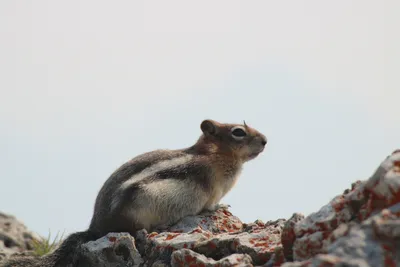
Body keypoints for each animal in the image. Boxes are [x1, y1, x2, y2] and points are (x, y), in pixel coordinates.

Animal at [3, 120, 268, 267]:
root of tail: (96, 227)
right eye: (238, 132)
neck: (216, 154)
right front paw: (221, 208)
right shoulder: (213, 190)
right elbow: (211, 204)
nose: (265, 140)